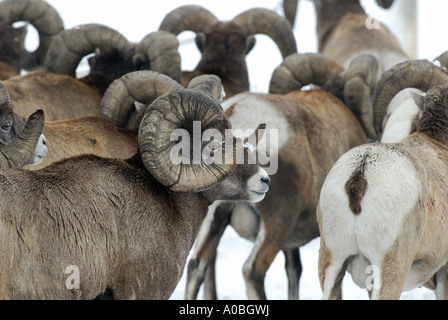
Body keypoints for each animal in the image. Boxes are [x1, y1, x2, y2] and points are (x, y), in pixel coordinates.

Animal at [182, 52, 372, 300]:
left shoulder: (291, 243)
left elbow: (294, 271)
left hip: (213, 217)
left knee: (196, 265)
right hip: (276, 222)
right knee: (252, 270)